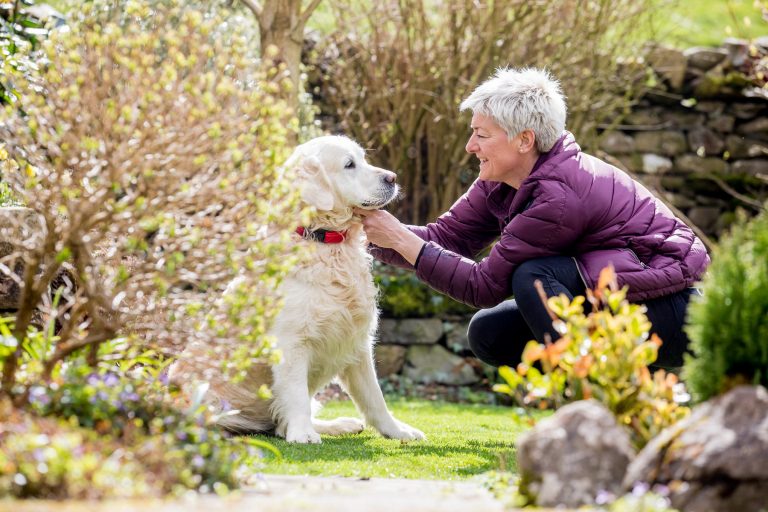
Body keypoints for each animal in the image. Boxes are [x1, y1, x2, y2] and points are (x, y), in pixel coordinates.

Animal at [170, 136, 426, 444]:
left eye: (364, 159)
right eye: (349, 165)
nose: (393, 178)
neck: (325, 242)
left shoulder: (357, 341)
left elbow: (375, 397)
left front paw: (398, 430)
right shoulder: (290, 342)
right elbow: (296, 394)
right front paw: (303, 434)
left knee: (279, 425)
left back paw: (341, 424)